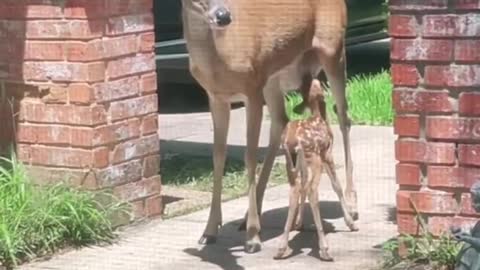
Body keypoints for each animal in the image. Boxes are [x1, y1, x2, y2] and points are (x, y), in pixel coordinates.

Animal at [274, 78, 356, 262]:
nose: (317, 79)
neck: (319, 116)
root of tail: (293, 142)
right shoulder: (327, 153)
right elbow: (336, 186)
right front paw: (350, 222)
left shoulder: (304, 163)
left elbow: (302, 188)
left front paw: (299, 223)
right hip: (315, 158)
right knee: (312, 190)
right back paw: (324, 249)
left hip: (291, 161)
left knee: (296, 189)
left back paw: (282, 248)